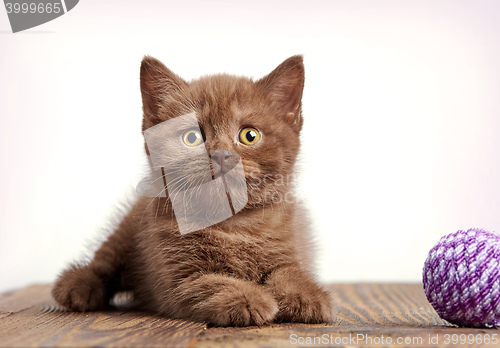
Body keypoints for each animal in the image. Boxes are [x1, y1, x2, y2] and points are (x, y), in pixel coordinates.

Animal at [50, 55, 334, 326]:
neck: (233, 224)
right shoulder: (179, 276)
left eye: (249, 135)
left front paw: (307, 296)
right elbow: (212, 281)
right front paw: (247, 298)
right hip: (126, 230)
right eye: (192, 137)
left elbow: (289, 273)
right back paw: (77, 286)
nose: (221, 154)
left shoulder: (291, 244)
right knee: (104, 262)